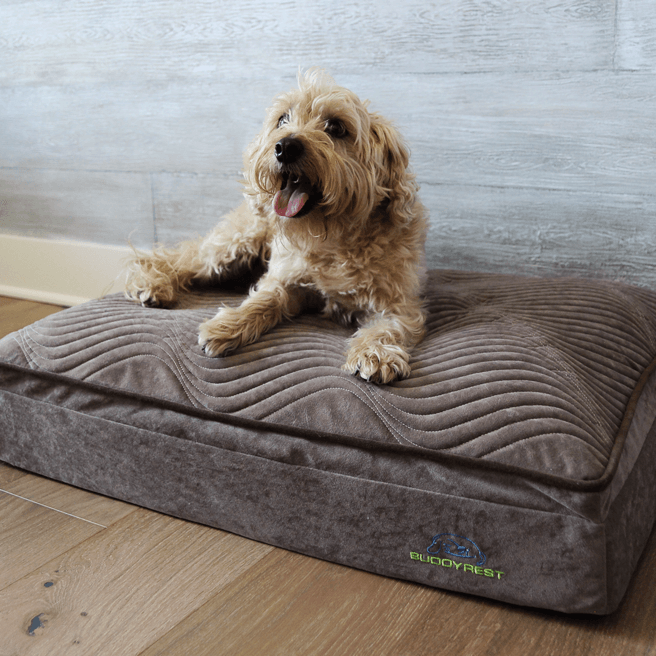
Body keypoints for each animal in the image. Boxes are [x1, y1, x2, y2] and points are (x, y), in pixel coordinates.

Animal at [125, 68, 428, 382]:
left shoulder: (398, 305)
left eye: (336, 127)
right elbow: (263, 300)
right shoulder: (285, 279)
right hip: (232, 246)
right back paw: (150, 284)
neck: (333, 240)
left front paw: (375, 353)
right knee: (169, 258)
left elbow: (386, 328)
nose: (285, 146)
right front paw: (228, 324)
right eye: (283, 119)